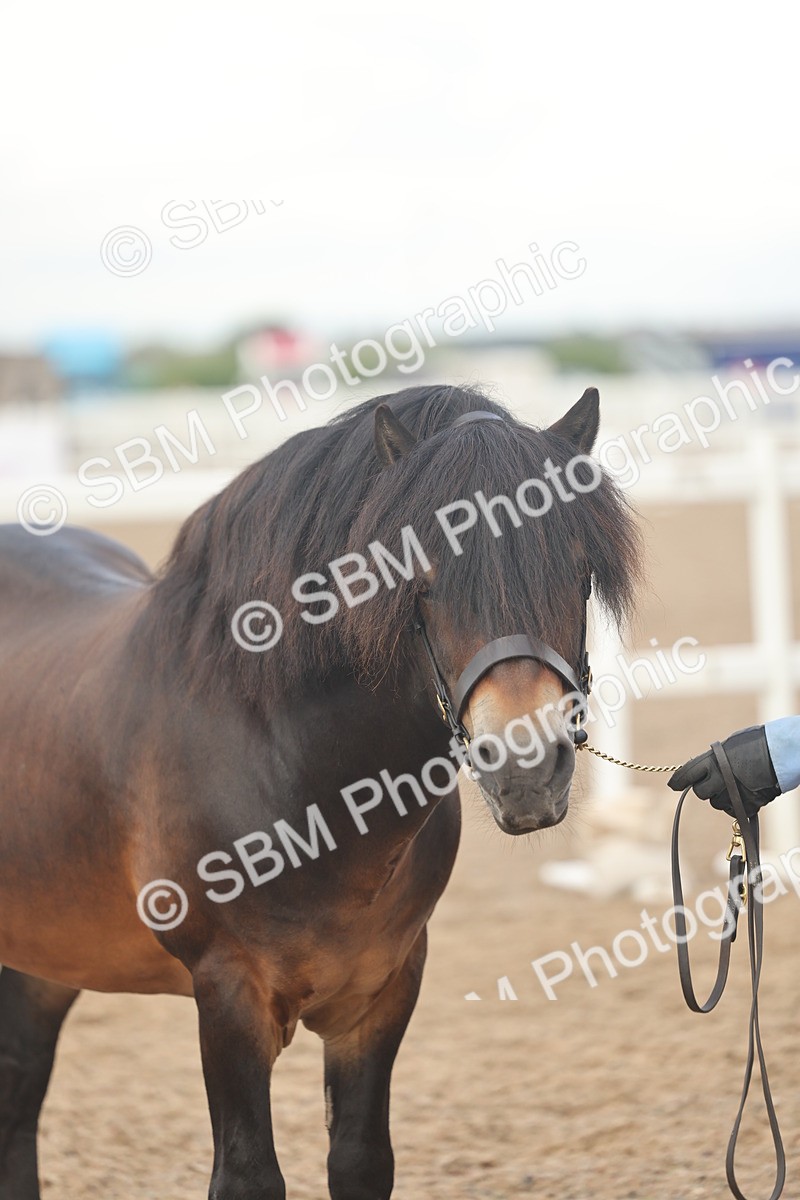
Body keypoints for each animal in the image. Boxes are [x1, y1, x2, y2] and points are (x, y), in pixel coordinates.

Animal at [0, 382, 640, 1199]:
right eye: (420, 576)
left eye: (577, 568)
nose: (526, 765)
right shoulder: (229, 995)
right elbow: (248, 1175)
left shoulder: (382, 991)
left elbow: (362, 1160)